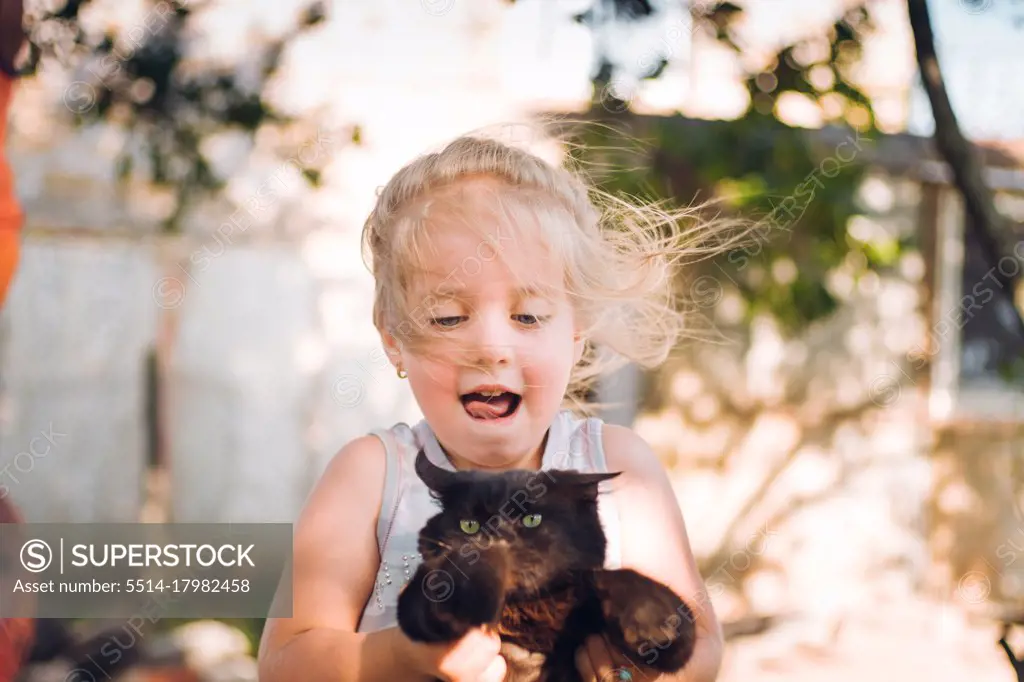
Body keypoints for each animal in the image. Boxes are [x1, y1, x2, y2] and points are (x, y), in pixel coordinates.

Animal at [395, 448, 700, 675]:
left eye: (532, 519)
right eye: (470, 525)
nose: (499, 537)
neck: (533, 611)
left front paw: (649, 617)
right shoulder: (416, 606)